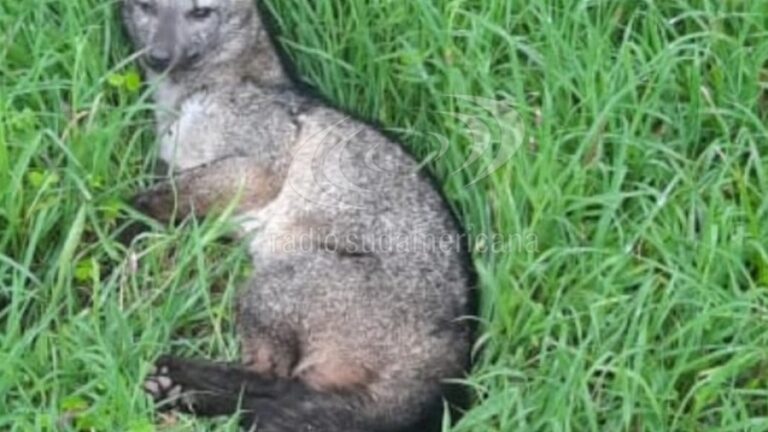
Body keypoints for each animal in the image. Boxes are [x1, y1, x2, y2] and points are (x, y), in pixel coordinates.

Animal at [120, 0, 476, 431]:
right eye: (146, 8)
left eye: (200, 13)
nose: (159, 56)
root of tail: (454, 352)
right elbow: (172, 192)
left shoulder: (260, 167)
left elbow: (155, 197)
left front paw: (118, 225)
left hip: (272, 283)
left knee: (270, 379)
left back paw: (182, 384)